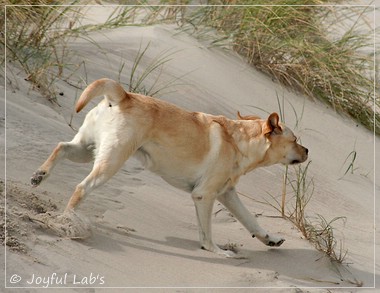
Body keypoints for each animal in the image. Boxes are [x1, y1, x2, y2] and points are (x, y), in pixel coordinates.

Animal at [31, 77, 308, 256]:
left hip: (87, 150)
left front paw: (270, 239)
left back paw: (39, 175)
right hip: (110, 162)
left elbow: (250, 220)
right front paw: (216, 251)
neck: (241, 140)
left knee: (61, 147)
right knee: (81, 187)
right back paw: (67, 220)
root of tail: (123, 96)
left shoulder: (227, 194)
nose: (307, 151)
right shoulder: (204, 195)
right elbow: (207, 233)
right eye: (295, 140)